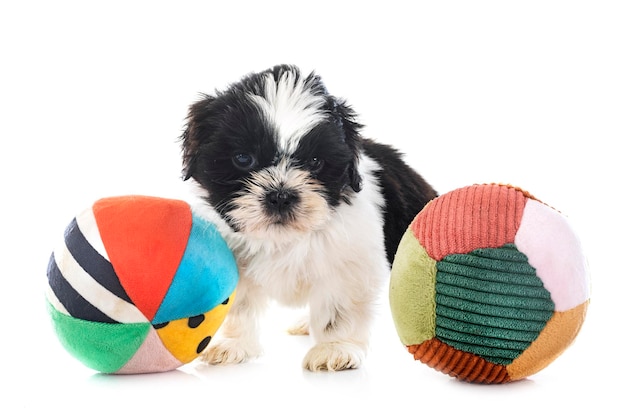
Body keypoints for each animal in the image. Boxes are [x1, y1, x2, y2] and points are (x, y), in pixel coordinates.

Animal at [178, 63, 436, 368]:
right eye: (243, 158)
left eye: (315, 161)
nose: (281, 195)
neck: (285, 238)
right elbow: (239, 306)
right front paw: (233, 344)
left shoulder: (350, 264)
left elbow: (339, 308)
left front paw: (335, 348)